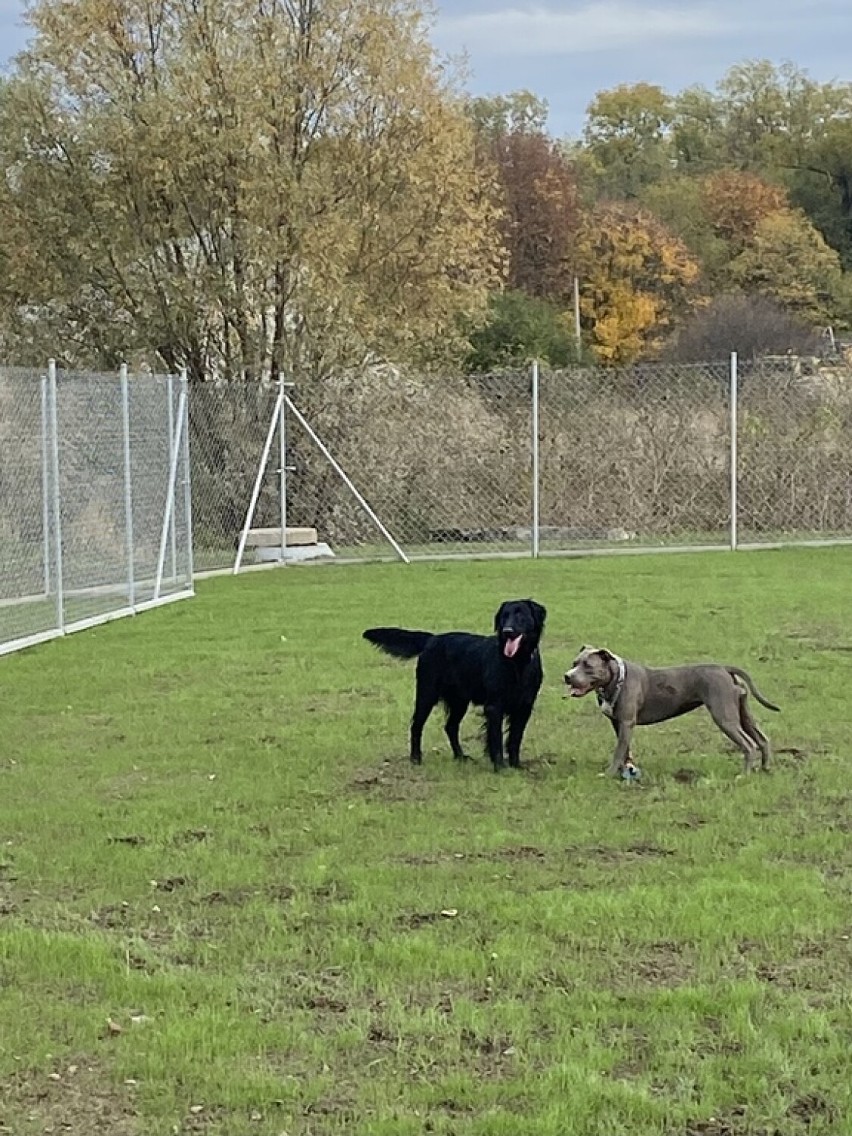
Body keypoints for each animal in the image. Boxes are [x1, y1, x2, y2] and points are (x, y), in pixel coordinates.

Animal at [361, 595, 547, 772]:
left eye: (520, 614)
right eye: (504, 616)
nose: (507, 631)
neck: (518, 662)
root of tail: (432, 639)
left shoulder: (524, 707)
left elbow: (515, 738)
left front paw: (516, 766)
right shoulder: (495, 706)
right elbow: (496, 740)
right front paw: (500, 767)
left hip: (459, 701)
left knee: (450, 727)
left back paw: (460, 756)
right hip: (426, 694)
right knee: (416, 726)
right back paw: (416, 758)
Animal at [563, 645, 786, 777]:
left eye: (588, 665)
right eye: (574, 663)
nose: (567, 676)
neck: (617, 679)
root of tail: (725, 668)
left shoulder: (626, 723)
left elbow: (618, 752)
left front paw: (609, 774)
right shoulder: (619, 724)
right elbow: (624, 750)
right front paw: (625, 771)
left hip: (725, 716)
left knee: (748, 744)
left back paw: (744, 775)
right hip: (742, 713)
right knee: (762, 739)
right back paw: (765, 768)